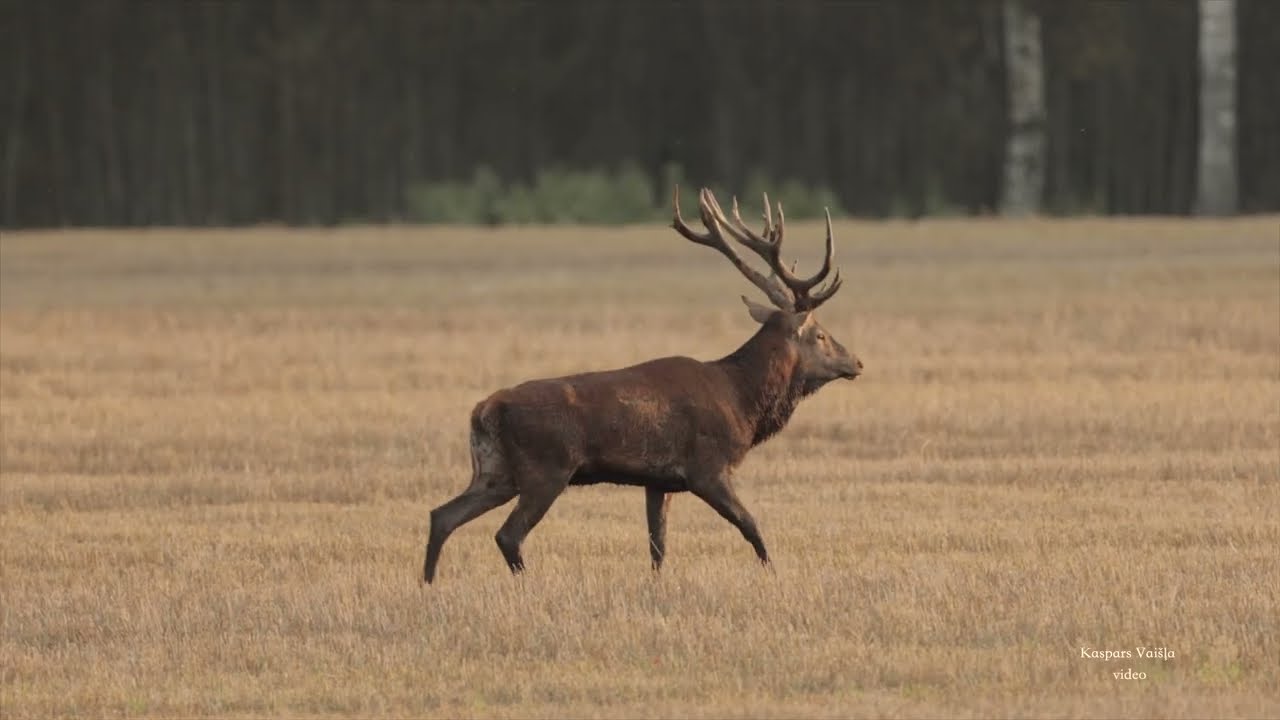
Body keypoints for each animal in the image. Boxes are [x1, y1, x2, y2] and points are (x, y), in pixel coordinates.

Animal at [423, 187, 862, 583]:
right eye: (821, 335)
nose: (856, 361)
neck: (742, 401)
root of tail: (485, 410)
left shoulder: (658, 480)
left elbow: (658, 544)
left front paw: (656, 585)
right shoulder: (707, 467)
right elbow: (750, 524)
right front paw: (774, 573)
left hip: (494, 470)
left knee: (442, 514)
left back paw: (428, 584)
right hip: (545, 468)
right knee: (507, 534)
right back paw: (525, 584)